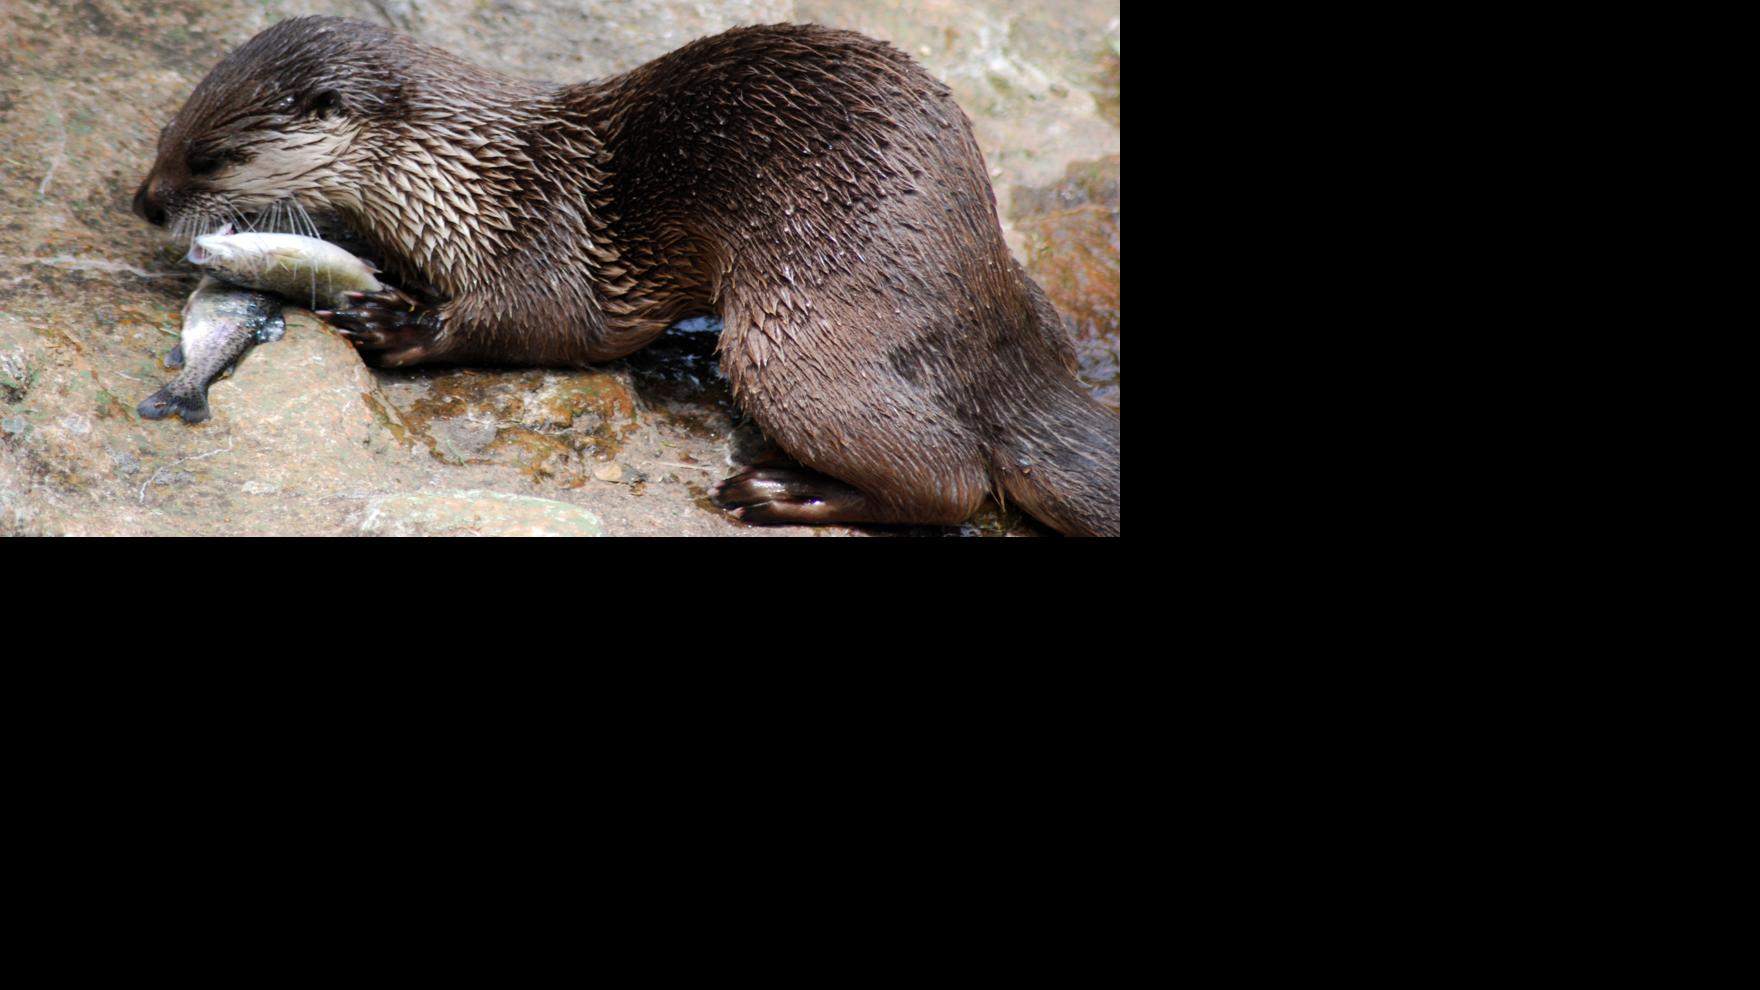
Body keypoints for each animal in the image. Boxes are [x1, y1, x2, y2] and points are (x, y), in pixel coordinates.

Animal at [132, 16, 1120, 535]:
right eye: (168, 130)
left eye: (211, 158)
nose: (145, 202)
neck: (454, 182)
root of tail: (985, 305)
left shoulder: (538, 241)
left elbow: (537, 323)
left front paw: (398, 324)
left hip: (798, 321)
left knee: (951, 480)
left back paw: (776, 491)